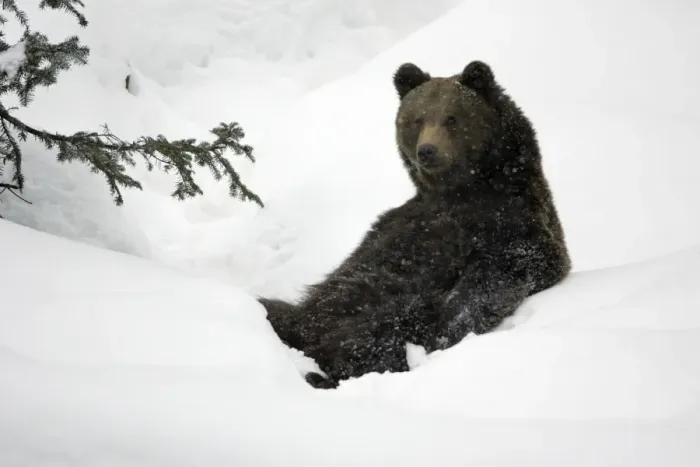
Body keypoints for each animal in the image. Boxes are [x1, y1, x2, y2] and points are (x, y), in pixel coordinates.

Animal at [258, 60, 571, 389]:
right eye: (417, 119)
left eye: (452, 117)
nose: (427, 151)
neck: (466, 191)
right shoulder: (394, 230)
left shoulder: (515, 226)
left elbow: (497, 275)